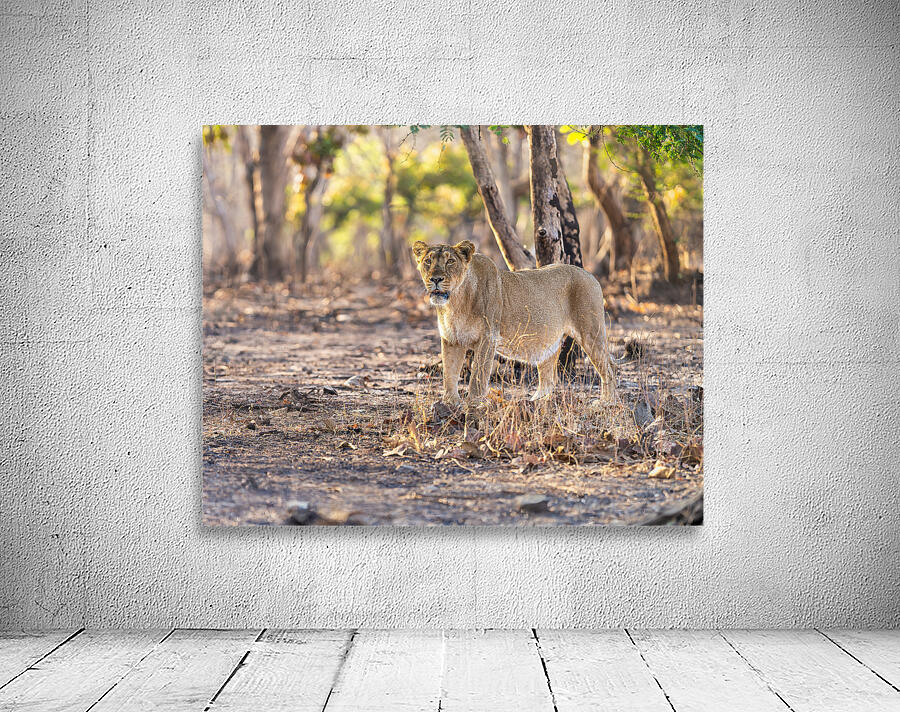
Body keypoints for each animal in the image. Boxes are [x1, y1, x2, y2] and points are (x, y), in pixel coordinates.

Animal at [412, 240, 616, 407]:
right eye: (428, 261)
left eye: (450, 262)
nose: (435, 279)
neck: (455, 303)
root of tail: (589, 274)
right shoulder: (451, 340)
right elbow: (449, 373)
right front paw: (449, 403)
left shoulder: (488, 338)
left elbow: (478, 374)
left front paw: (473, 403)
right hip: (549, 342)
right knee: (549, 379)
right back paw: (536, 402)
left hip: (591, 332)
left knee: (608, 367)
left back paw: (606, 402)